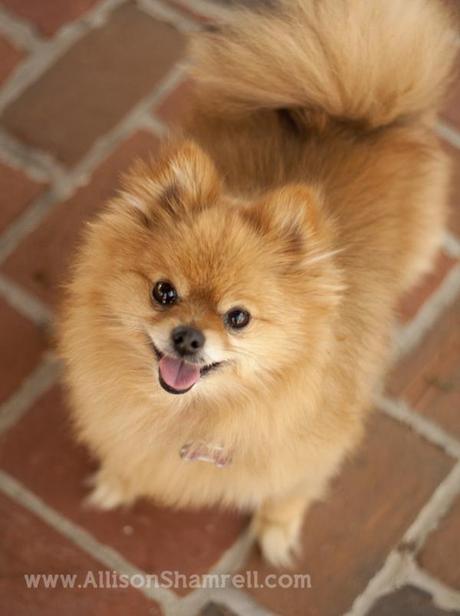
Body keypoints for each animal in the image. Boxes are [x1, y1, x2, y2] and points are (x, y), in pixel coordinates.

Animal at [58, 1, 456, 568]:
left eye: (238, 318)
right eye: (163, 293)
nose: (187, 337)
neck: (195, 413)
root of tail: (344, 111)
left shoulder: (311, 453)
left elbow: (288, 493)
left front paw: (276, 534)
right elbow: (130, 455)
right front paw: (119, 481)